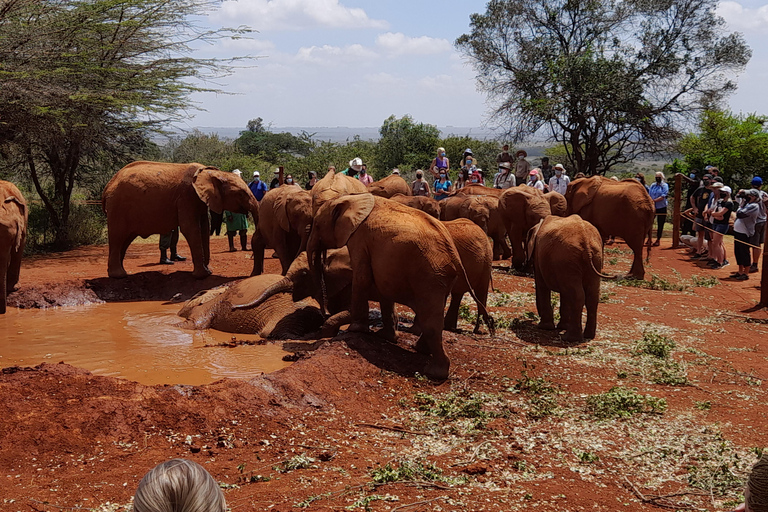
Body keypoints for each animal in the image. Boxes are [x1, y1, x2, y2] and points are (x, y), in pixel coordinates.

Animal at [102, 161, 260, 278]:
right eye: (241, 194)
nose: (251, 257)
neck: (211, 173)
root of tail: (108, 185)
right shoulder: (186, 196)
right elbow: (190, 228)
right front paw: (202, 275)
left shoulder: (199, 200)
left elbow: (204, 227)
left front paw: (208, 271)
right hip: (118, 207)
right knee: (118, 236)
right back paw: (119, 275)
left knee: (125, 239)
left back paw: (117, 273)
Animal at [306, 196, 486, 380]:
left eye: (317, 225)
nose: (324, 314)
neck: (354, 198)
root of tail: (455, 255)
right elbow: (383, 288)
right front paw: (385, 337)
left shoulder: (360, 239)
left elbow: (362, 277)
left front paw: (355, 330)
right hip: (440, 277)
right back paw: (420, 350)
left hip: (430, 277)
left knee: (430, 321)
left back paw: (434, 372)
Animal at [524, 214, 608, 342]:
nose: (534, 317)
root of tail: (585, 240)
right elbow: (565, 293)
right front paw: (561, 326)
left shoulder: (539, 257)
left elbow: (541, 285)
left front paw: (544, 327)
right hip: (594, 258)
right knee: (591, 295)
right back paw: (588, 336)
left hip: (567, 258)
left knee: (576, 295)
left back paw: (570, 338)